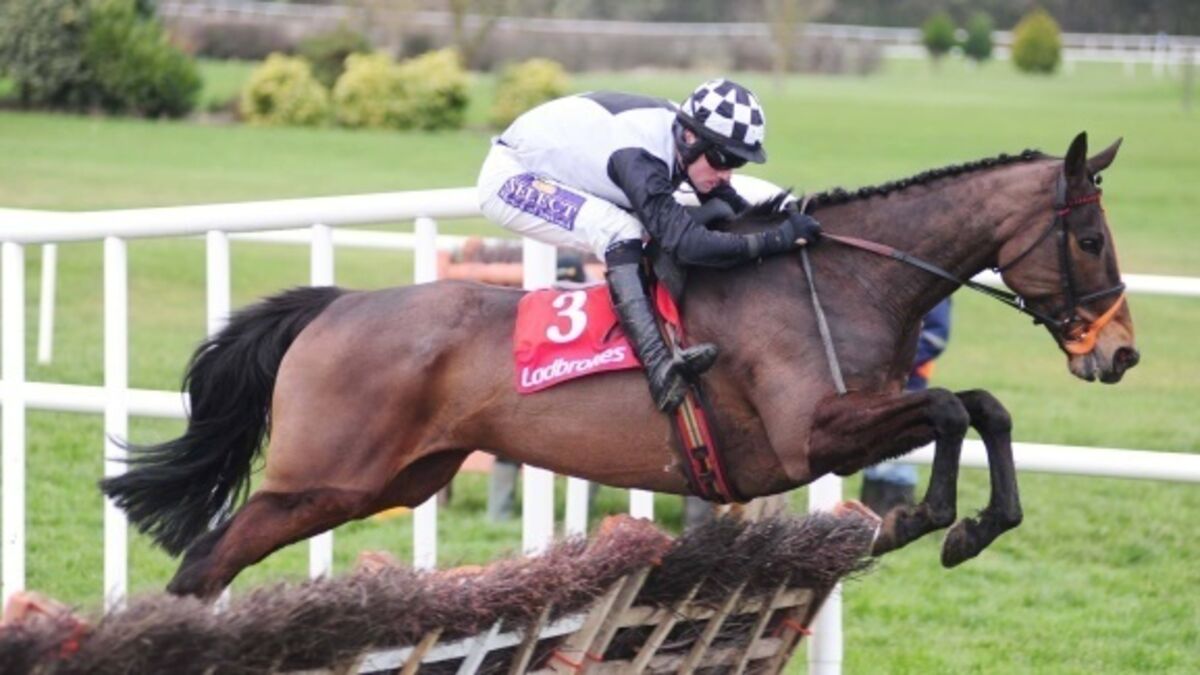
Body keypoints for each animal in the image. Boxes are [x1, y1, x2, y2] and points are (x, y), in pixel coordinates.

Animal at [102, 132, 1138, 599]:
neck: (841, 275)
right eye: (1089, 238)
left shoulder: (867, 412)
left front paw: (977, 523)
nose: (1121, 350)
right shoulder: (810, 437)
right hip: (326, 474)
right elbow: (955, 411)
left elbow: (985, 406)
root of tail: (339, 303)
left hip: (390, 479)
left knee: (215, 557)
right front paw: (924, 519)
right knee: (205, 557)